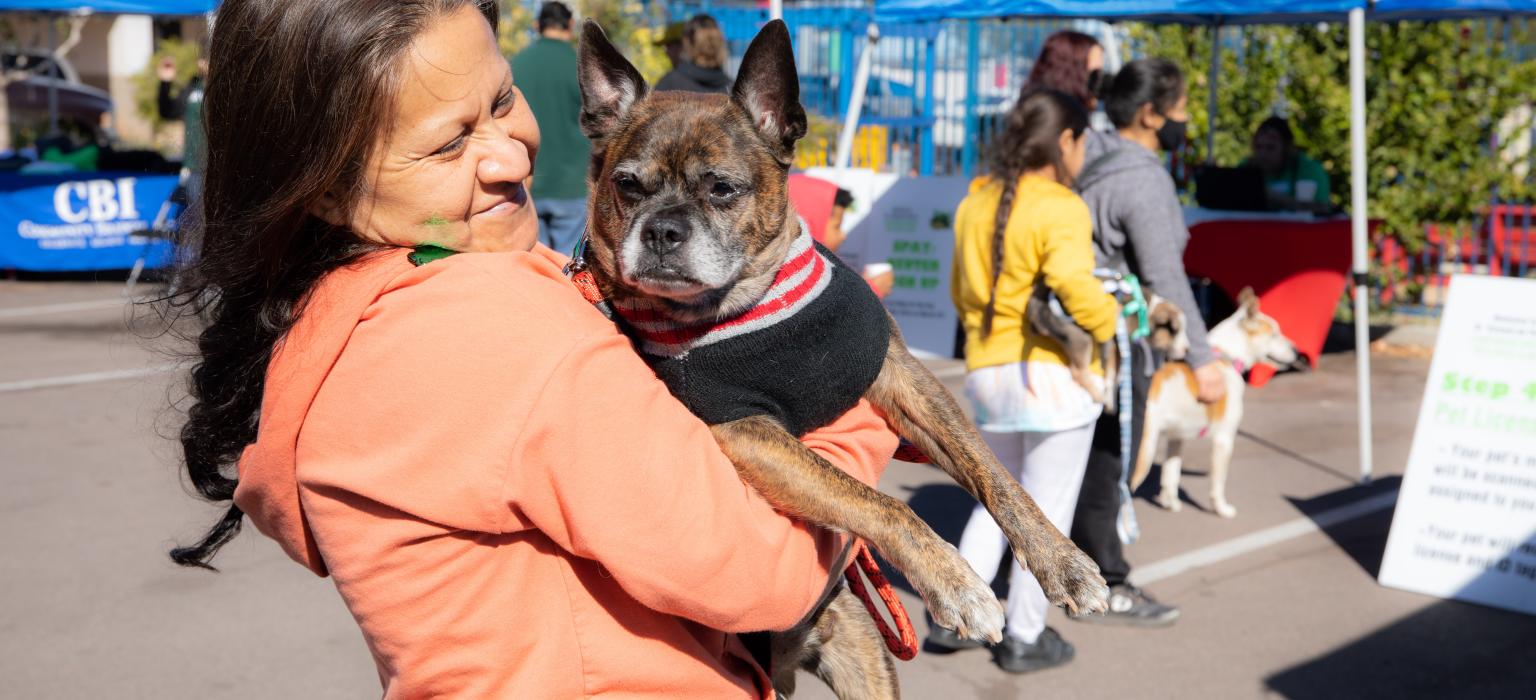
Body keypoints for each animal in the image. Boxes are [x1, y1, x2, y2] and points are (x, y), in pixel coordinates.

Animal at [574, 19, 1105, 696]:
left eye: (722, 189)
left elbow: (994, 474)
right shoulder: (749, 433)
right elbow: (878, 503)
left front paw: (1063, 561)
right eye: (626, 186)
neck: (751, 303)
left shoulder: (903, 377)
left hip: (862, 656)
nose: (662, 229)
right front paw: (956, 582)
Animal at [1136, 287, 1302, 515]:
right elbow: (1218, 482)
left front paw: (1171, 503)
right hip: (1143, 451)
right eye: (1274, 334)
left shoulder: (1176, 438)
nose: (1297, 351)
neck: (1226, 358)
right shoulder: (1224, 439)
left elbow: (1171, 475)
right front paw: (1221, 509)